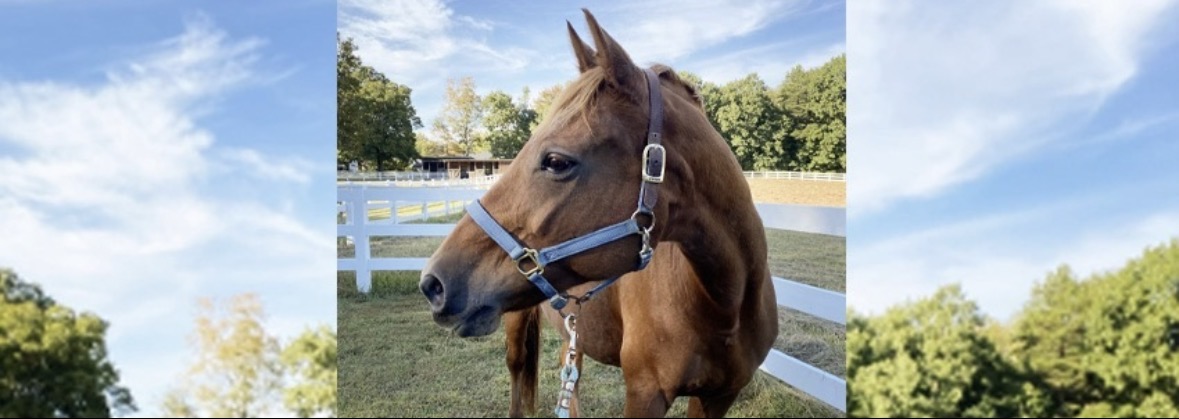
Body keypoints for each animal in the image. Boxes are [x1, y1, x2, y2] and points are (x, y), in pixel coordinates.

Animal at [420, 9, 777, 418]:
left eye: (556, 161)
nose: (432, 284)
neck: (725, 306)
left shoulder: (719, 397)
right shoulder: (645, 393)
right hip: (515, 320)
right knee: (517, 368)